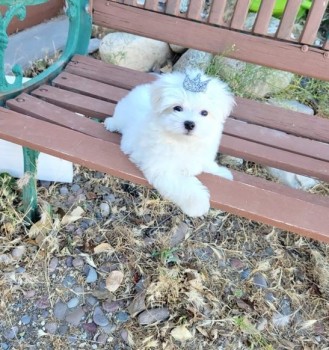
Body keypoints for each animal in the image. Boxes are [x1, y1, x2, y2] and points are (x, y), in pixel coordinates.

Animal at [104, 70, 234, 217]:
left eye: (204, 113)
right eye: (177, 108)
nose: (189, 124)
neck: (184, 142)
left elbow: (206, 164)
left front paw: (222, 172)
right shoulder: (163, 169)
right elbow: (184, 185)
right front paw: (197, 203)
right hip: (122, 115)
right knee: (117, 120)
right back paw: (111, 123)